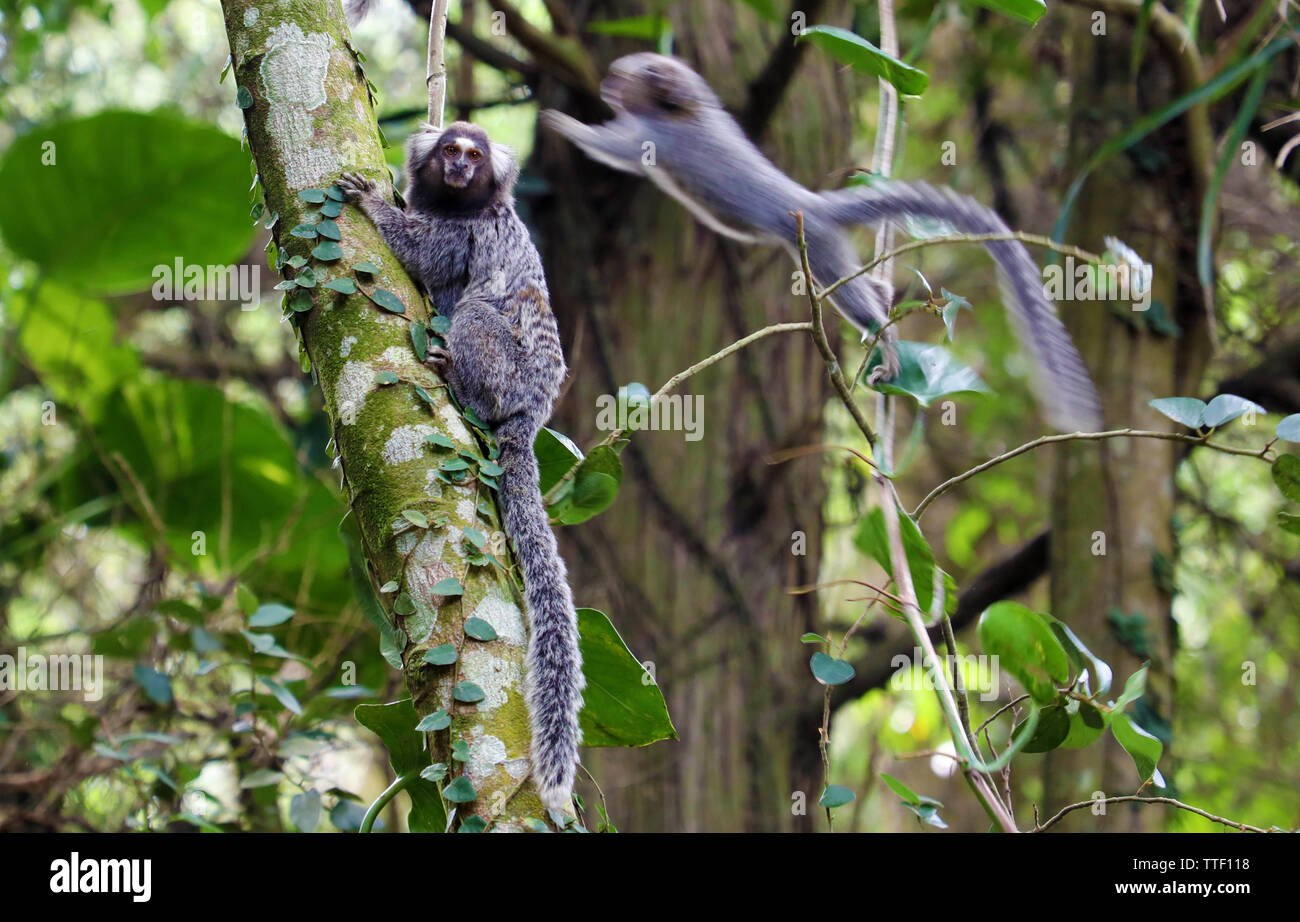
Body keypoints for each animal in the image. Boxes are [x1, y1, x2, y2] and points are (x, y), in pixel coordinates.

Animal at [338, 124, 582, 811]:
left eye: (474, 157)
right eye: (451, 150)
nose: (458, 166)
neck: (456, 204)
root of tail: (531, 410)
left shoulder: (469, 231)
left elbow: (425, 256)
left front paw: (375, 205)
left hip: (505, 372)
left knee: (475, 312)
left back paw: (456, 377)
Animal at [543, 54, 1102, 431]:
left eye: (623, 76)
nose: (607, 85)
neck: (677, 112)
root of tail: (812, 203)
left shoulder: (648, 136)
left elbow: (609, 147)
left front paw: (556, 120)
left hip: (824, 256)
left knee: (864, 307)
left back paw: (888, 347)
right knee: (873, 295)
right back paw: (885, 314)